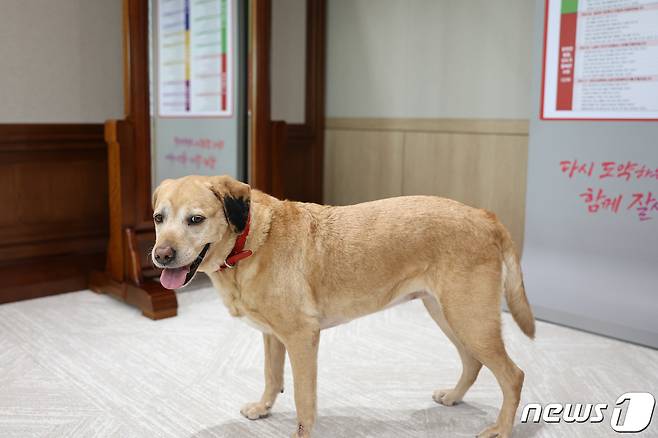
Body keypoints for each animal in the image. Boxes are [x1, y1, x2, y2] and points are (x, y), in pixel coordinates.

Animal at [152, 175, 532, 438]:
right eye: (158, 218)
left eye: (195, 219)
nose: (160, 256)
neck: (250, 241)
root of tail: (485, 216)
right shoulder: (273, 336)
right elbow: (272, 376)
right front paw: (263, 407)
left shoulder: (302, 338)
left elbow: (304, 399)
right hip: (448, 315)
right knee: (473, 362)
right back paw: (454, 397)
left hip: (470, 319)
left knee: (513, 376)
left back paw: (501, 429)